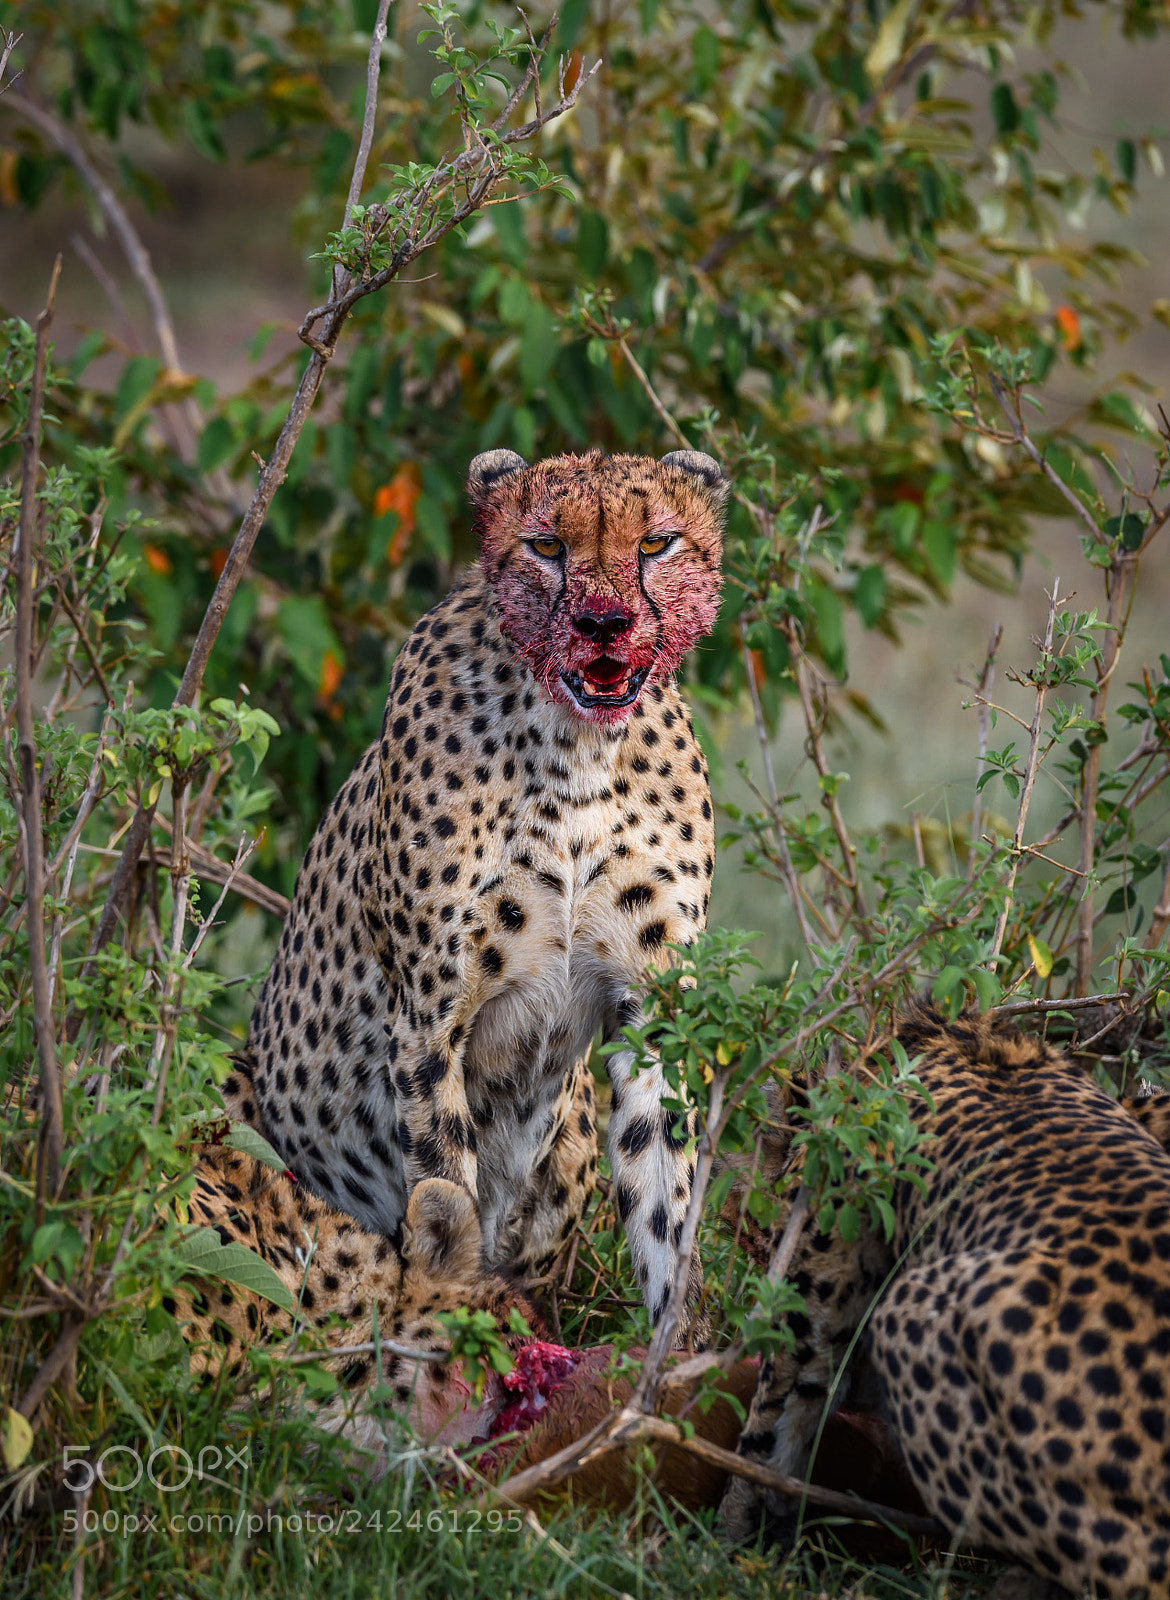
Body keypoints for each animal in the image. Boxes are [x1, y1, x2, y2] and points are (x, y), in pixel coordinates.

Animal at [233, 448, 729, 1331]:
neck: (578, 749)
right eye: (545, 546)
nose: (603, 623)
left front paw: (681, 1344)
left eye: (657, 543)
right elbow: (444, 1178)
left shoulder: (654, 1000)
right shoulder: (431, 1014)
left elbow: (665, 1195)